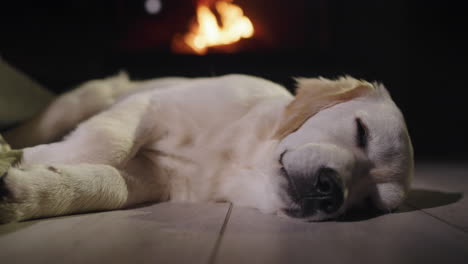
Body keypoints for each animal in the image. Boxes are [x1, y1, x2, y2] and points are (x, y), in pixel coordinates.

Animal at [0, 73, 412, 223]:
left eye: (370, 203)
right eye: (361, 131)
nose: (331, 192)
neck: (240, 160)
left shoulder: (154, 177)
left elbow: (107, 184)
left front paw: (29, 190)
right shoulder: (153, 104)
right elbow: (109, 144)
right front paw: (30, 157)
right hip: (84, 99)